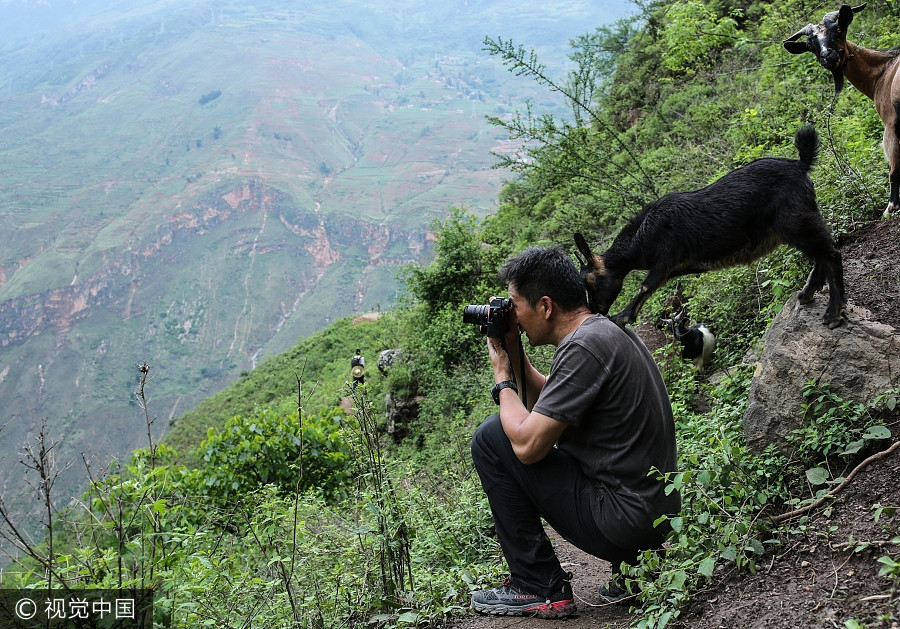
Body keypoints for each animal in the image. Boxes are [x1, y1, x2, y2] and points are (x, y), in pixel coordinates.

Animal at [572, 123, 848, 328]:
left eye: (589, 281)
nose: (594, 309)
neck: (644, 234)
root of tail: (801, 164)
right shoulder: (678, 267)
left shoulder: (667, 257)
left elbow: (645, 285)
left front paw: (621, 317)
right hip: (798, 223)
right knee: (821, 251)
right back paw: (808, 292)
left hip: (795, 221)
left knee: (832, 253)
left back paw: (833, 312)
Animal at [780, 3, 900, 217]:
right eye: (810, 45)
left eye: (837, 29)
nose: (827, 57)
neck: (882, 73)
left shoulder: (890, 123)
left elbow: (894, 170)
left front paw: (890, 208)